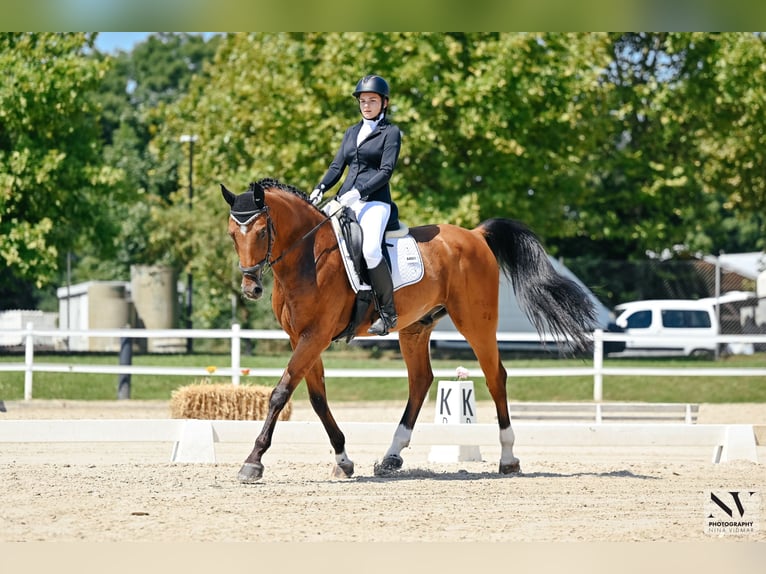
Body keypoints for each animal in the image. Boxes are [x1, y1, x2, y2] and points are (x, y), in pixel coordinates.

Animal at [221, 178, 597, 483]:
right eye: (232, 234)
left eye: (261, 232)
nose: (251, 288)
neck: (308, 257)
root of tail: (475, 235)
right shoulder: (301, 338)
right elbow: (317, 399)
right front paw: (343, 460)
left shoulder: (316, 336)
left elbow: (280, 393)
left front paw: (253, 461)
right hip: (416, 327)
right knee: (421, 380)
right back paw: (391, 456)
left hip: (476, 323)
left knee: (495, 377)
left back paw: (508, 459)